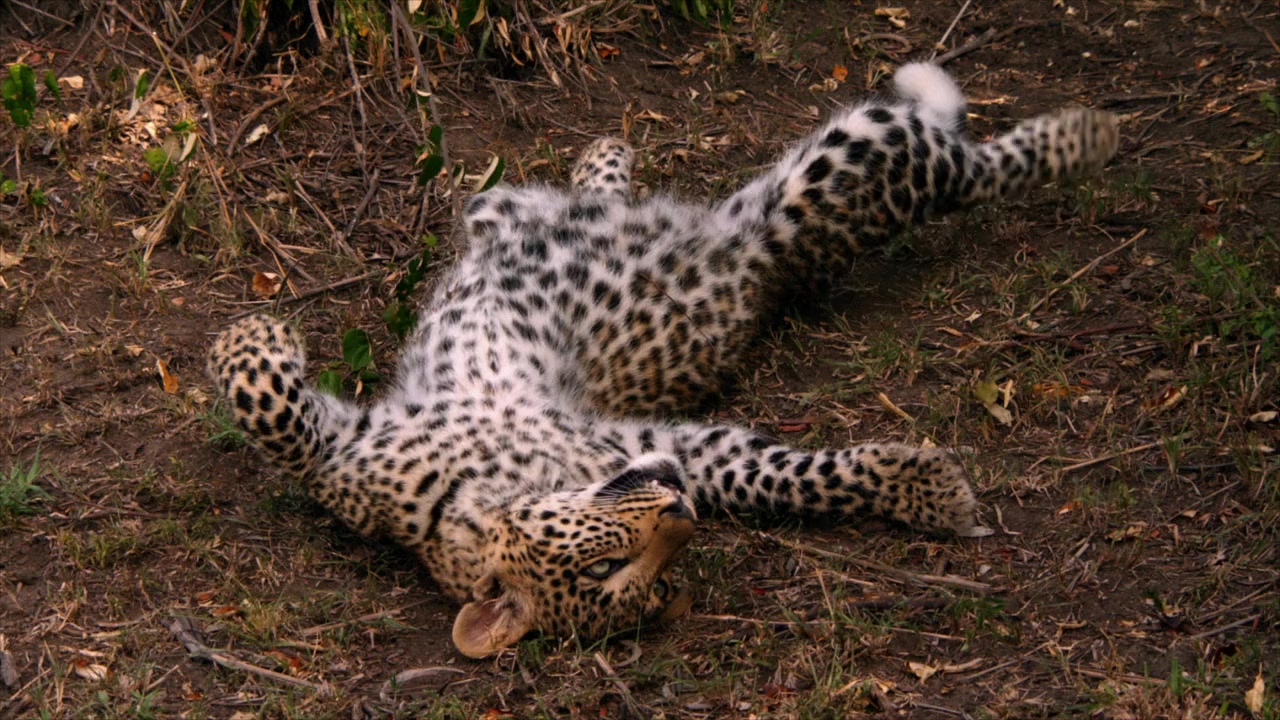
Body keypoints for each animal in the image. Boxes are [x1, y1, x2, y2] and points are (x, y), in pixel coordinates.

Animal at [208, 63, 1119, 658]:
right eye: (618, 571)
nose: (683, 511)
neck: (482, 494)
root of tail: (759, 257)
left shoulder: (365, 443)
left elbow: (275, 414)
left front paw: (252, 336)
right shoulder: (678, 448)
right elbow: (789, 478)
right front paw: (922, 488)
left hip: (834, 162)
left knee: (970, 159)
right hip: (822, 187)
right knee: (964, 166)